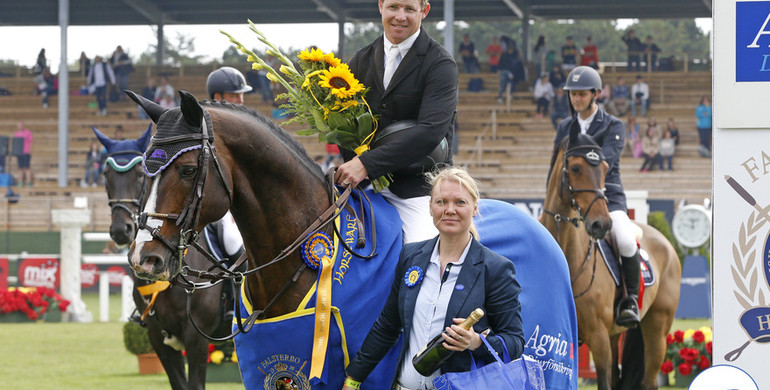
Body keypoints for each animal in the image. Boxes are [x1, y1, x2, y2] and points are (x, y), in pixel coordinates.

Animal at [536, 126, 680, 388]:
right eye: (575, 168)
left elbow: (603, 380)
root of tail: (664, 240)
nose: (601, 224)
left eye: (604, 168)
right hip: (616, 334)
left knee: (648, 379)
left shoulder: (599, 339)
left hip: (657, 328)